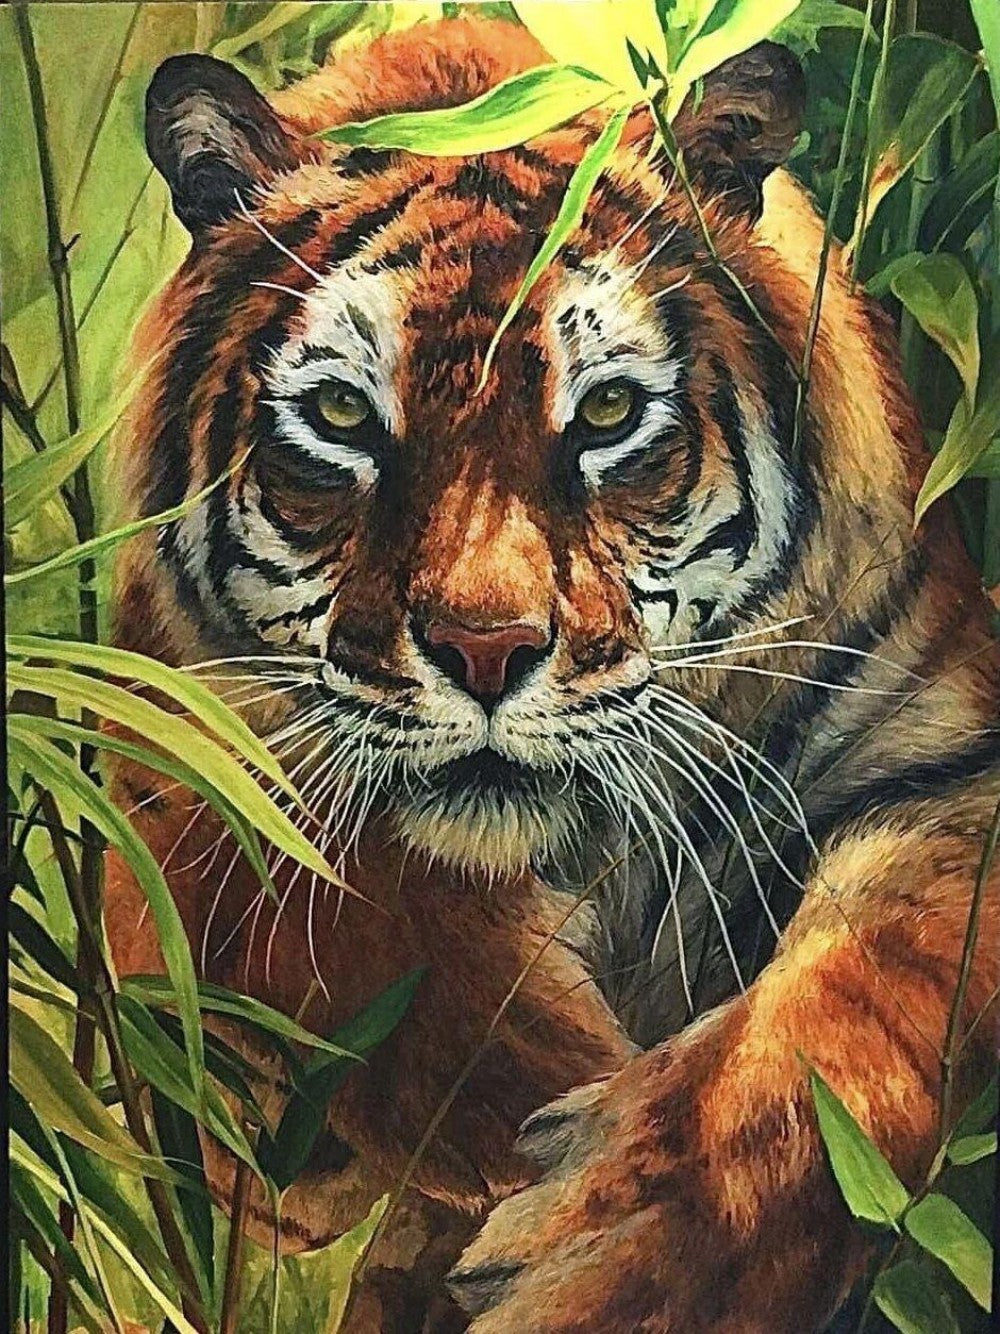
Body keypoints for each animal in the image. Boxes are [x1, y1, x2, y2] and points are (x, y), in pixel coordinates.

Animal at [104, 14, 1000, 1334]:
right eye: (341, 416)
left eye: (610, 410)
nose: (486, 647)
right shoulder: (179, 761)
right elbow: (372, 951)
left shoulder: (942, 764)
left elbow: (860, 1001)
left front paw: (616, 1253)